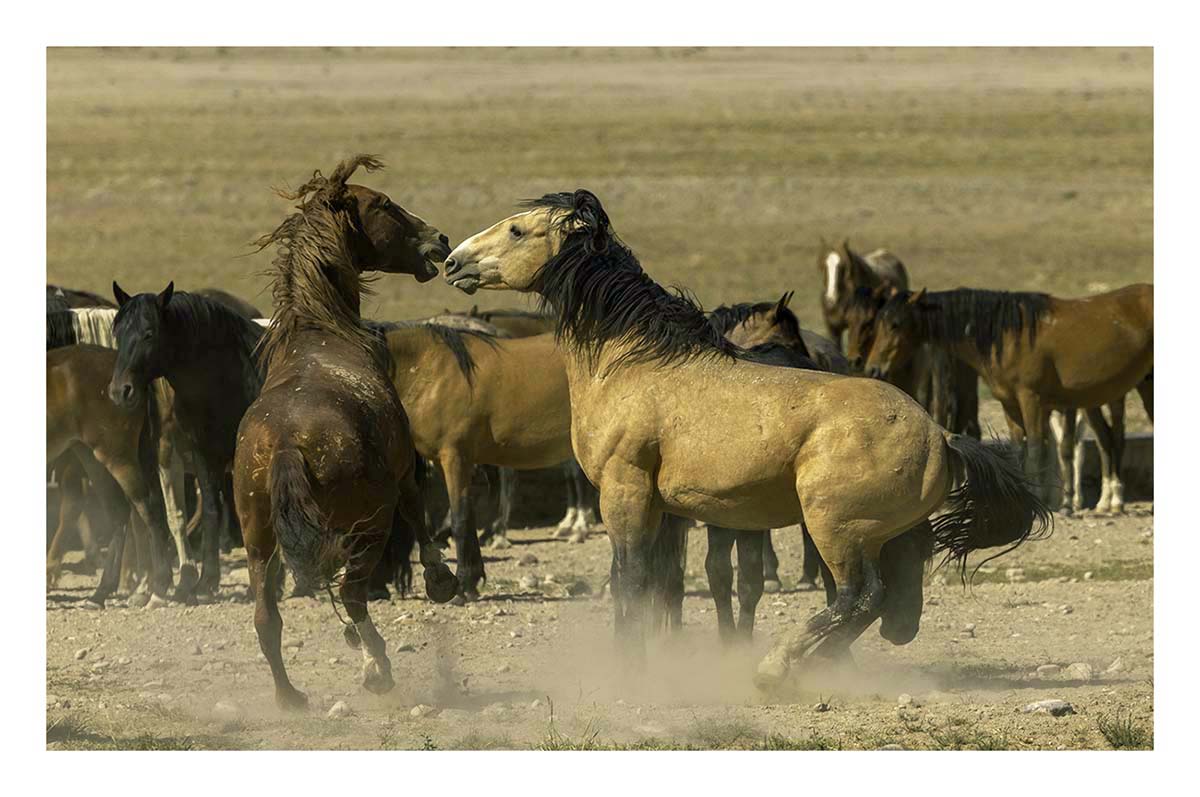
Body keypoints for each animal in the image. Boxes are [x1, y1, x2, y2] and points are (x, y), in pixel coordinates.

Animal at [46, 308, 197, 597]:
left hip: (118, 457)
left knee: (148, 508)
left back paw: (158, 586)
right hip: (93, 458)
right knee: (120, 513)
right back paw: (104, 591)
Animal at [232, 155, 457, 709]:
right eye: (384, 204)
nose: (438, 238)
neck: (323, 333)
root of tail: (286, 445)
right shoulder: (405, 470)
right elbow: (418, 514)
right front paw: (441, 578)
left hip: (258, 540)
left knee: (267, 618)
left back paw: (291, 696)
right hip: (368, 527)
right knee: (353, 593)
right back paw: (379, 669)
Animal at [445, 190, 1050, 688]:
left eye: (517, 230)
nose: (452, 260)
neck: (634, 363)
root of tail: (942, 436)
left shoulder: (624, 493)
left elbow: (631, 580)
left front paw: (627, 670)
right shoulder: (660, 510)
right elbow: (656, 584)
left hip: (835, 530)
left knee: (859, 596)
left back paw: (776, 667)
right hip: (889, 534)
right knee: (884, 602)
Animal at [862, 285, 1153, 513]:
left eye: (895, 324)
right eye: (878, 324)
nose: (873, 369)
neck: (1009, 335)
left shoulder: (1031, 399)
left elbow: (1036, 448)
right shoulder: (1010, 404)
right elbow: (1018, 450)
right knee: (1107, 440)